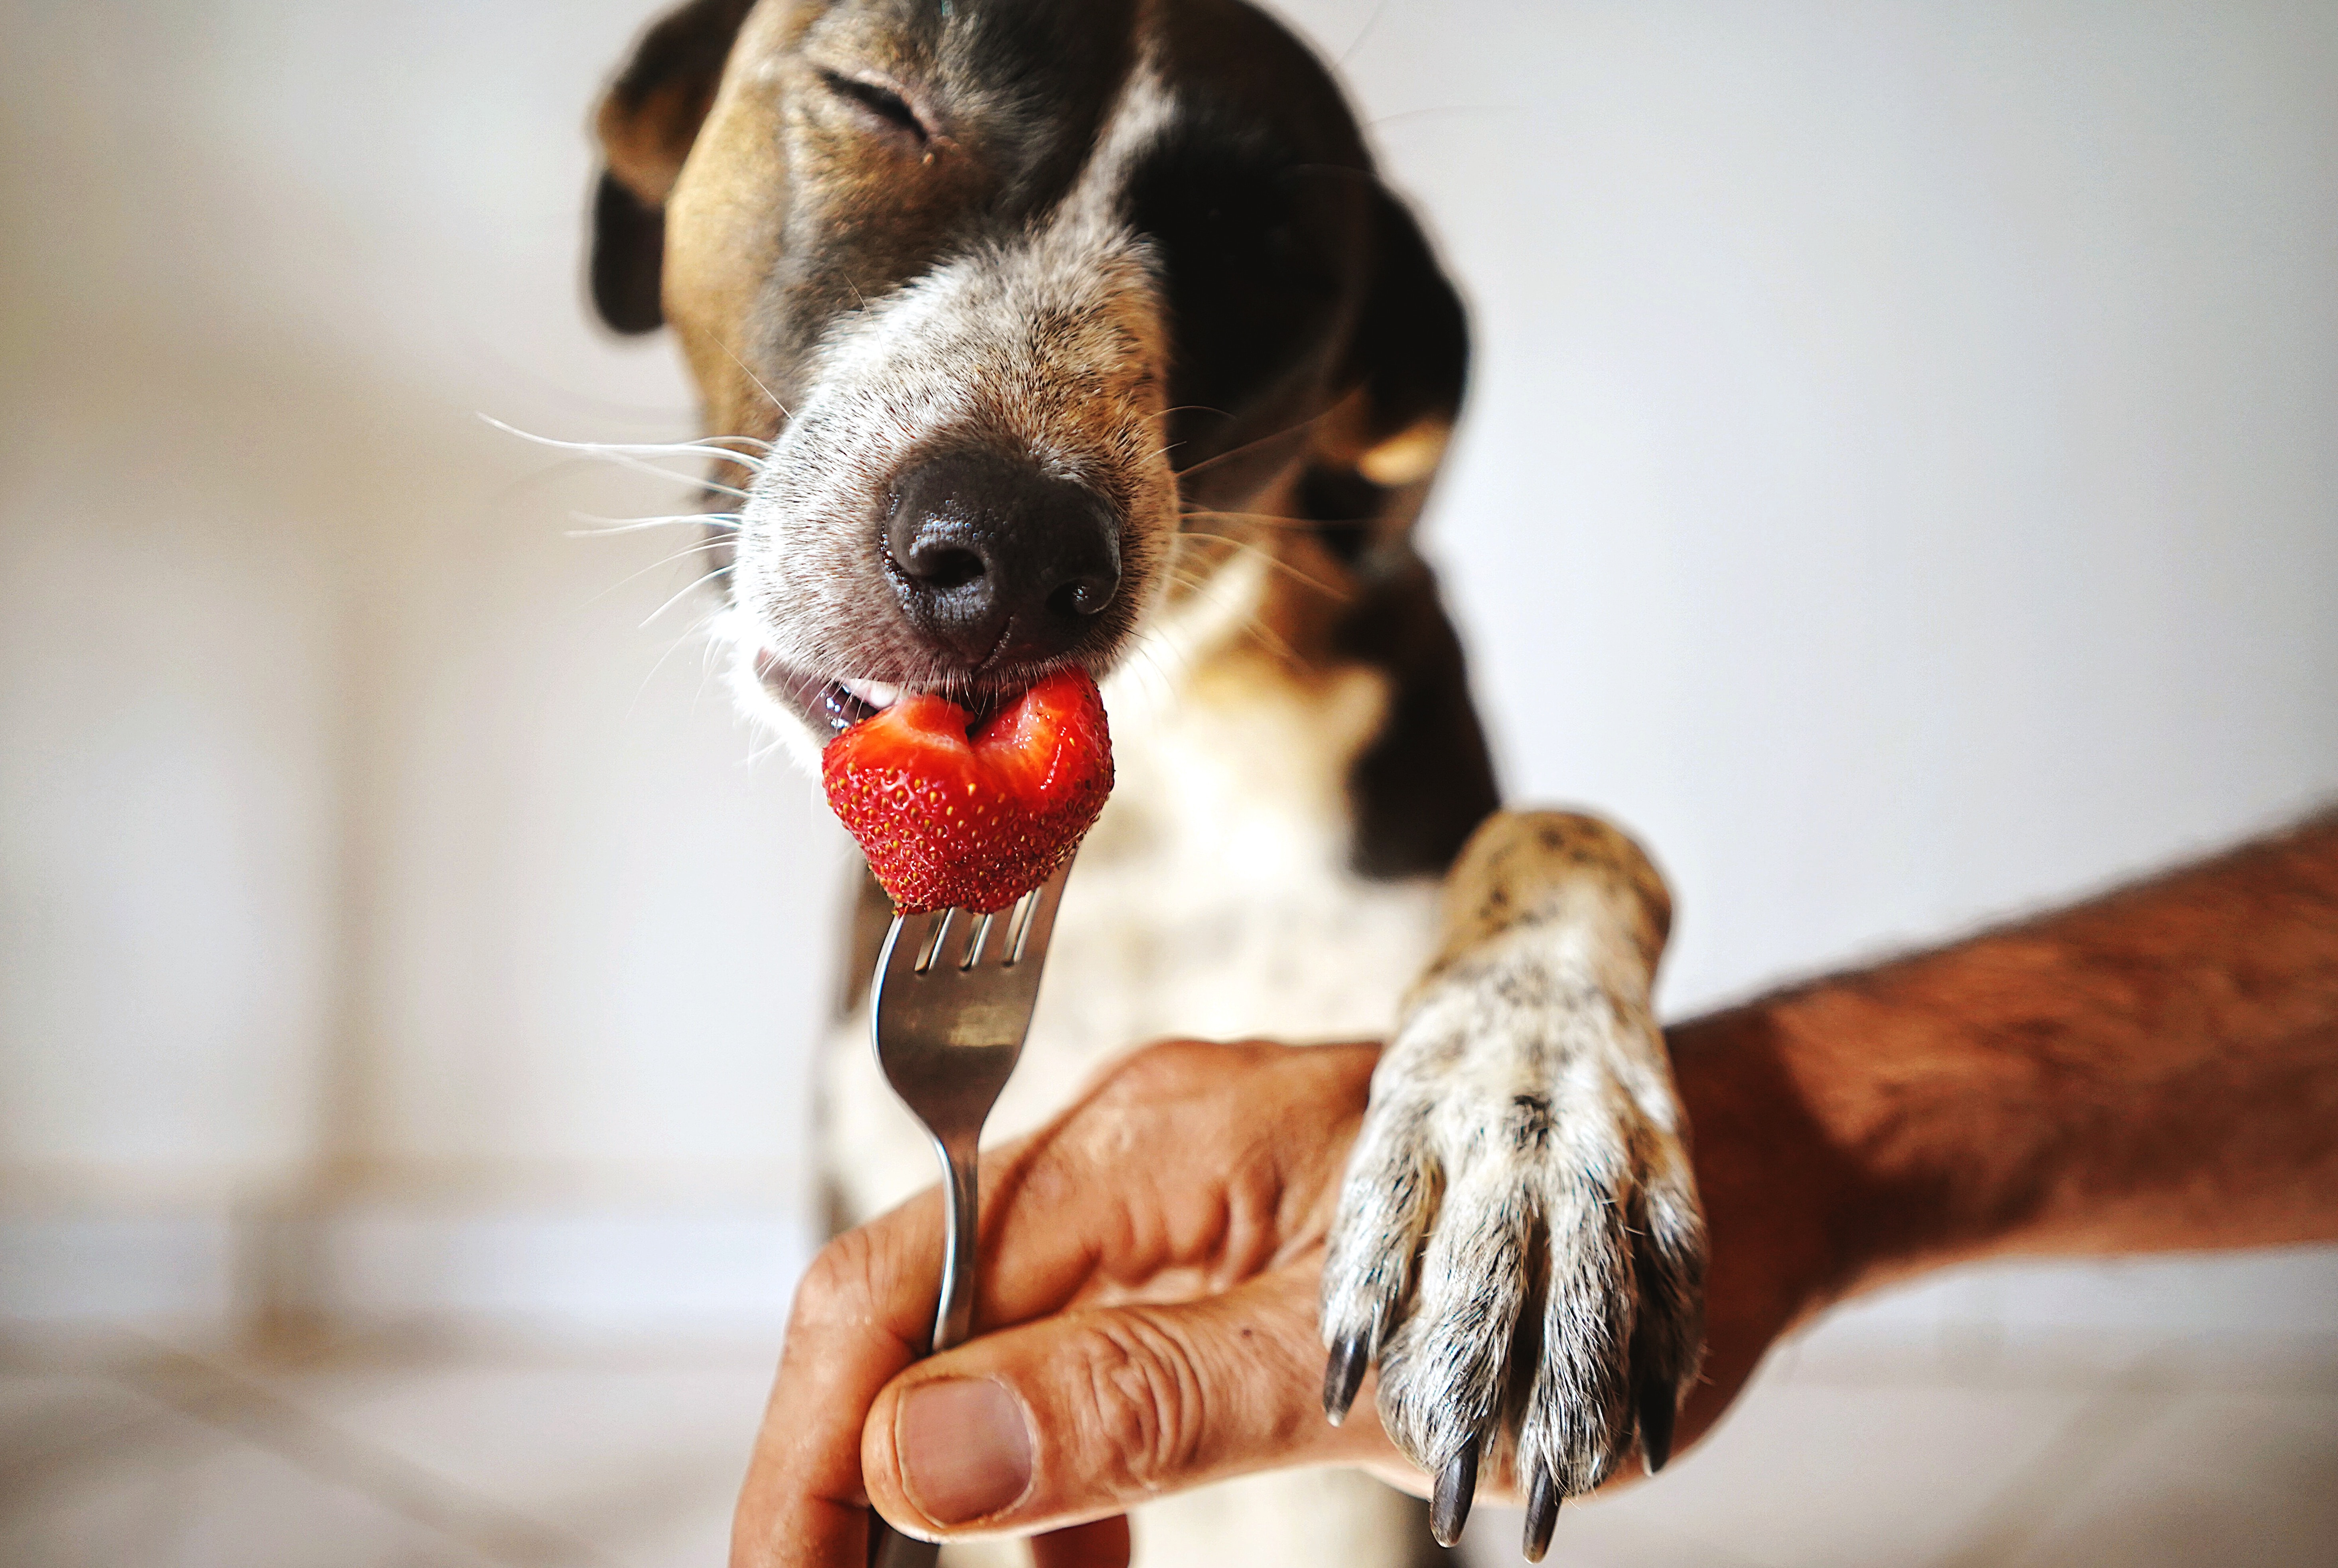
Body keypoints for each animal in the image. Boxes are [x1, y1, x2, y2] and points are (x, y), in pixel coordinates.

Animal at [584, 6, 1711, 1561]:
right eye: (878, 95)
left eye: (1275, 255)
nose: (1010, 549)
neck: (1163, 790)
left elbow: (1572, 837)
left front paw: (1528, 1140)